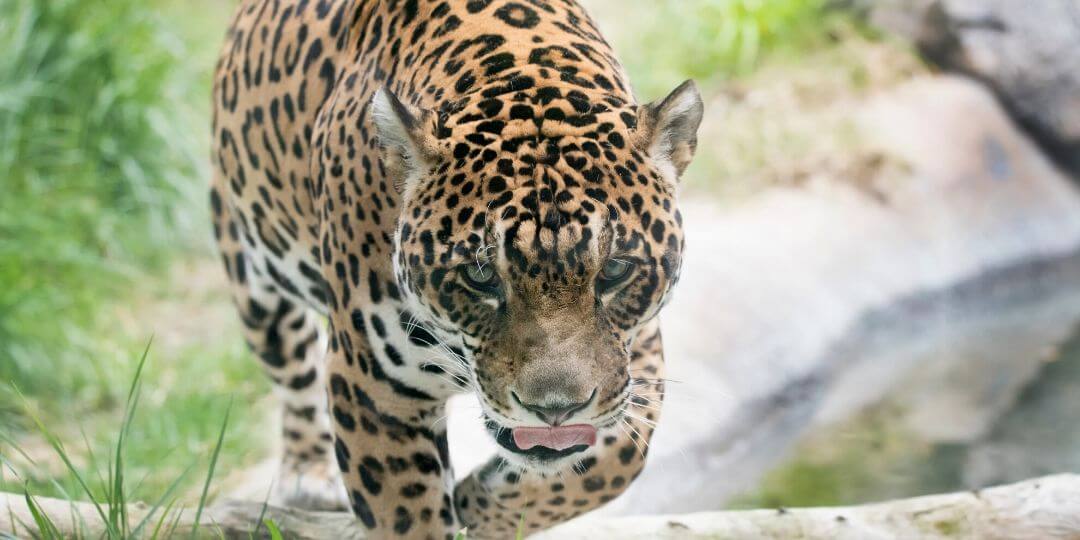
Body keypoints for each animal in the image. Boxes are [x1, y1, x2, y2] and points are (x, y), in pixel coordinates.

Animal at [210, 0, 703, 537]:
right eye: (481, 276)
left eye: (614, 270)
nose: (555, 410)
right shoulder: (373, 386)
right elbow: (407, 518)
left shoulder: (638, 350)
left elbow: (615, 460)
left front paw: (478, 506)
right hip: (251, 273)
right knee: (291, 367)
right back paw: (307, 477)